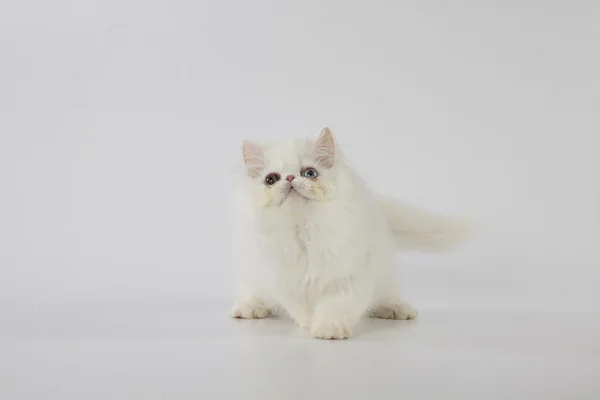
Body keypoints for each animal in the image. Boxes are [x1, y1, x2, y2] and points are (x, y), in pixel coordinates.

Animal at [229, 129, 468, 340]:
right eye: (271, 179)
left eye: (309, 173)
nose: (289, 178)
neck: (304, 231)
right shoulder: (283, 280)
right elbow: (300, 307)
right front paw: (308, 322)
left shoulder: (347, 277)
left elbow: (336, 306)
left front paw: (329, 330)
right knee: (255, 294)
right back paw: (249, 309)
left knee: (386, 294)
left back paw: (397, 309)